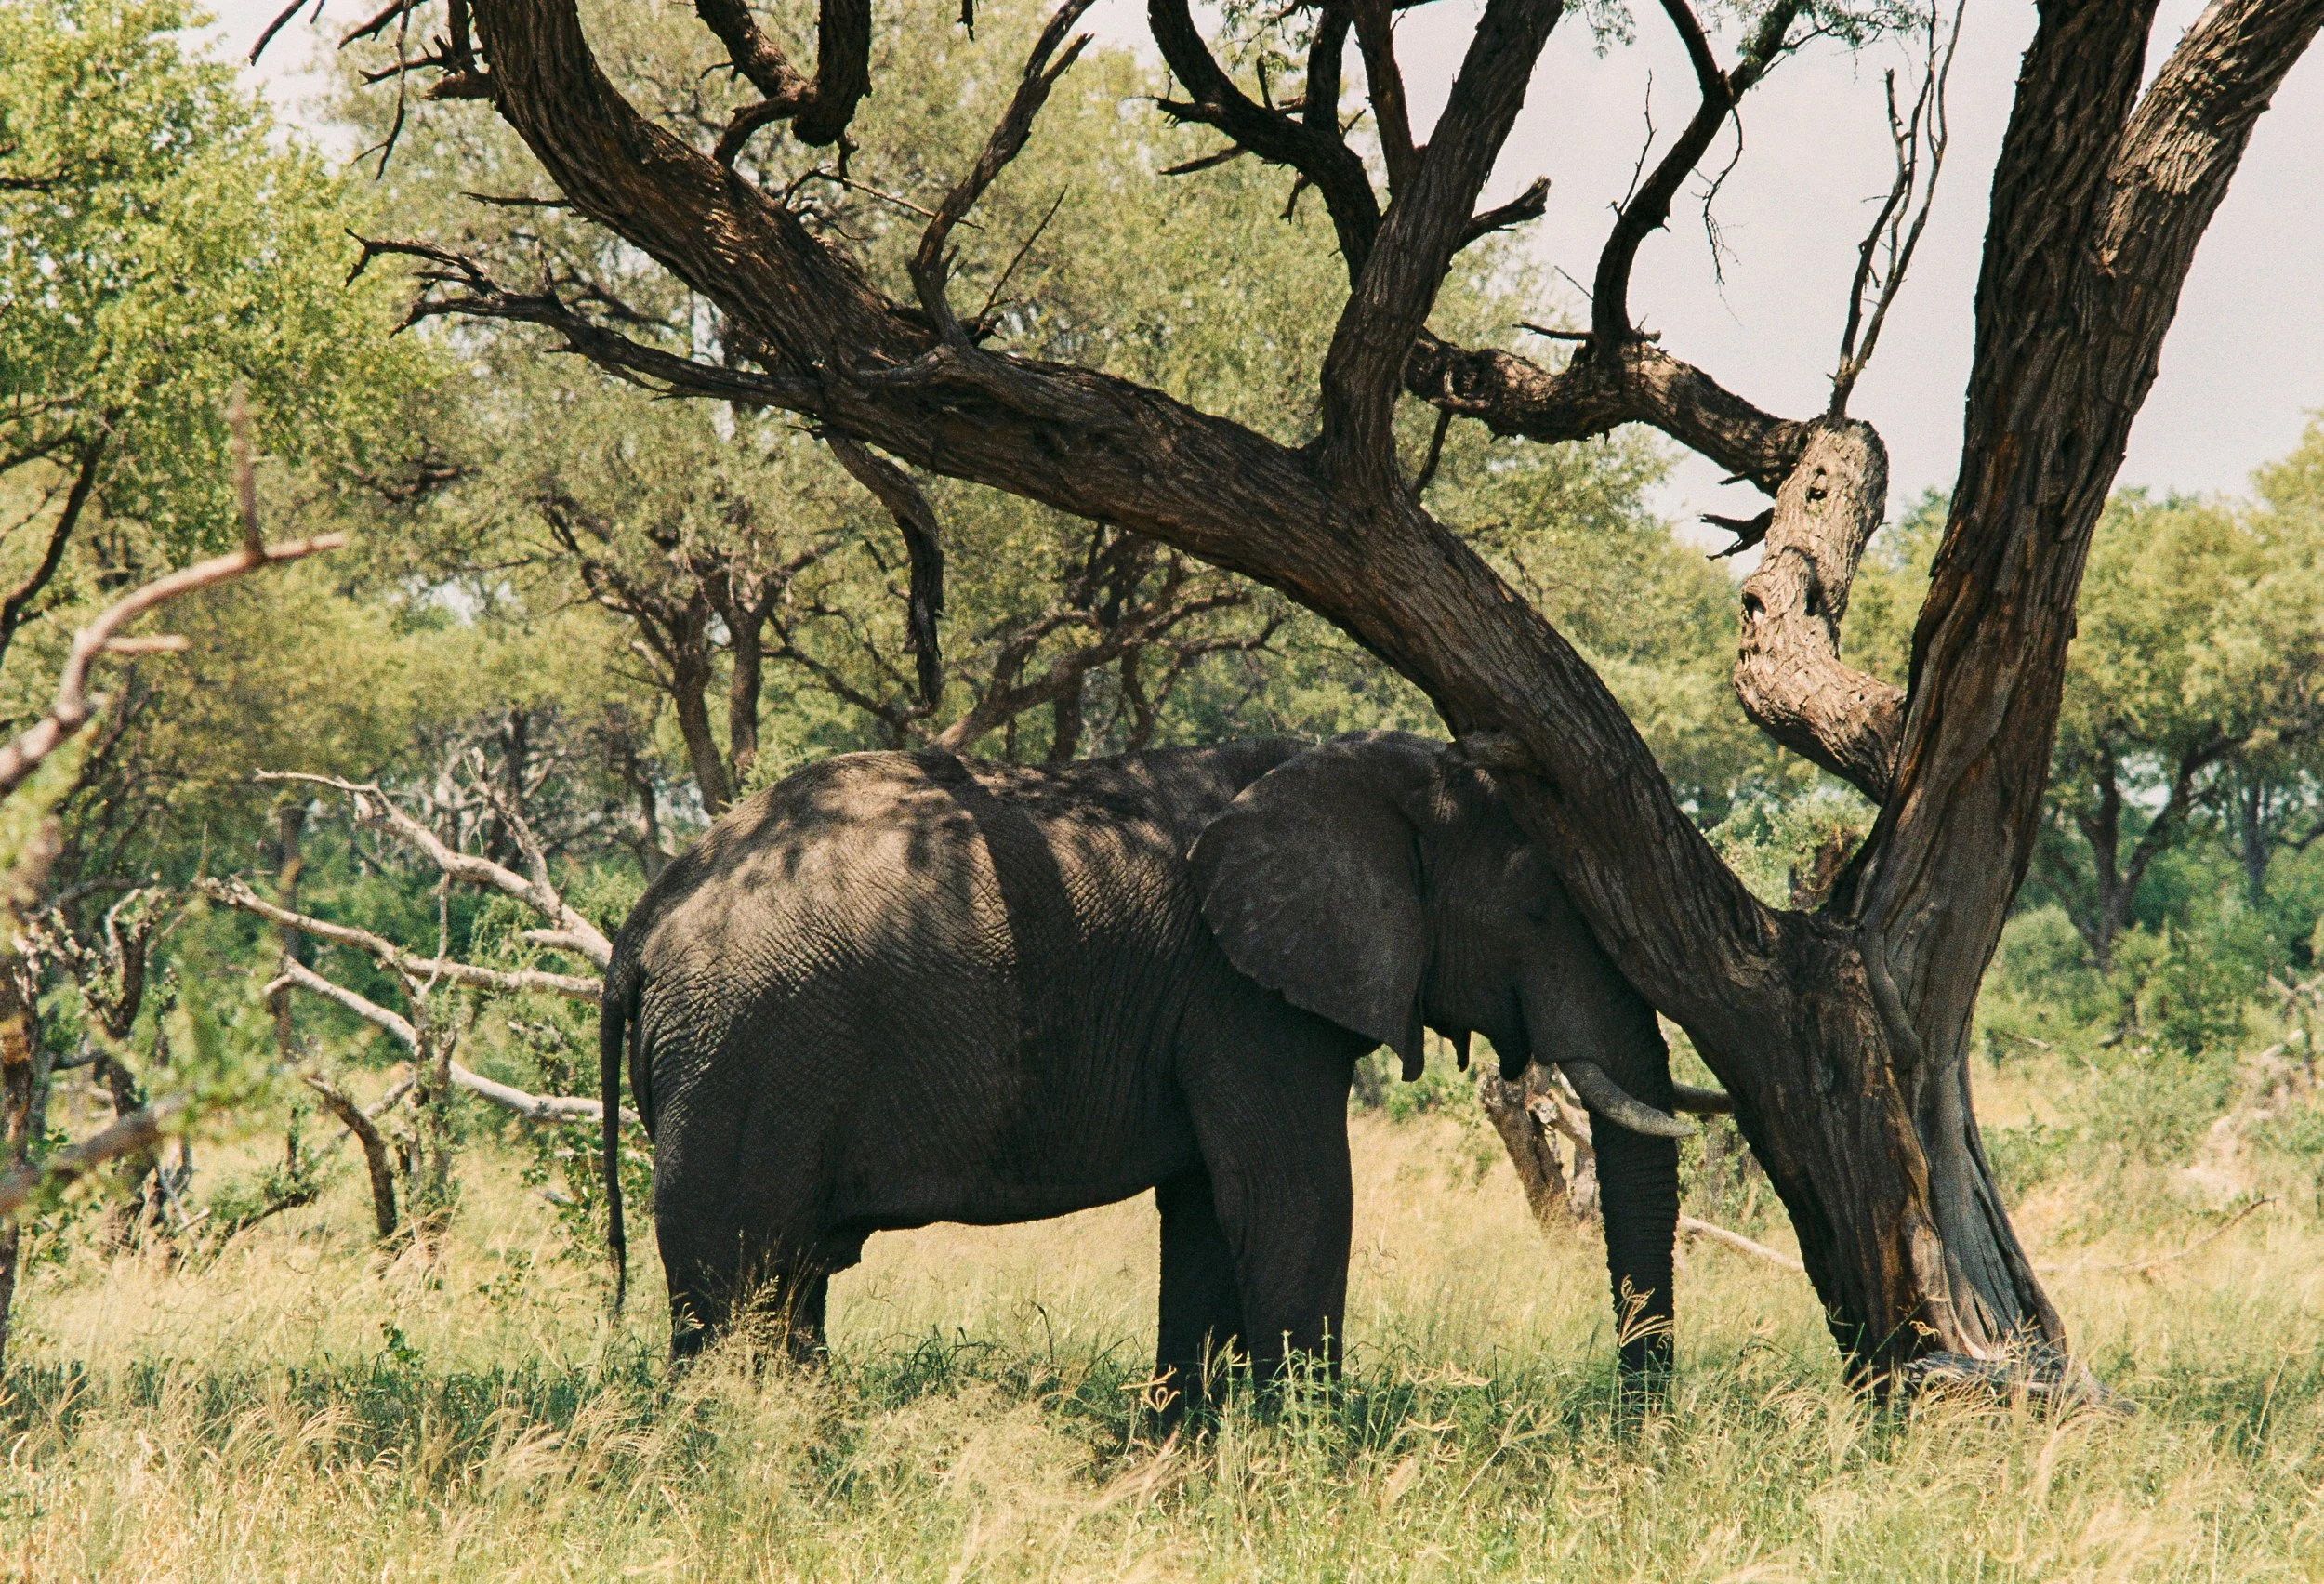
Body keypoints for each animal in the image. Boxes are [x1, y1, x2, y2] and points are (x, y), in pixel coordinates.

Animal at [596, 730, 1714, 1403]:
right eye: (1540, 910)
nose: (1634, 1425)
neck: (1345, 771)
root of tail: (649, 915)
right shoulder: (1240, 996)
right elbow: (1295, 1198)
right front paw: (1313, 1458)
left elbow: (1209, 1212)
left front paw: (1185, 1456)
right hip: (746, 1050)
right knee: (732, 1276)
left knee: (785, 1286)